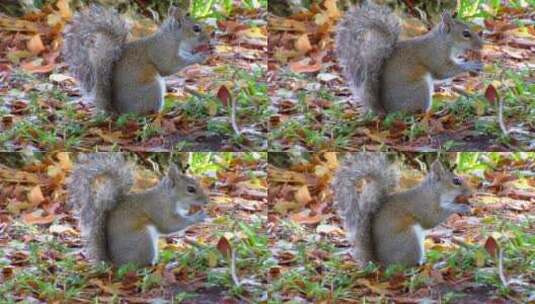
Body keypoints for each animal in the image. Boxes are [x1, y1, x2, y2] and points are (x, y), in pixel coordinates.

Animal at [62, 3, 211, 115]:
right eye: (196, 28)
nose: (209, 39)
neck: (173, 38)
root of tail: (119, 111)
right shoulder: (162, 52)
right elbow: (169, 67)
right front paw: (199, 57)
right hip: (152, 89)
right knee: (149, 112)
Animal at [67, 154, 209, 266]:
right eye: (190, 189)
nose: (207, 201)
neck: (169, 196)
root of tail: (114, 263)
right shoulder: (159, 208)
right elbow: (169, 225)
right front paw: (198, 216)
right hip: (143, 239)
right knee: (142, 265)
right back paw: (167, 264)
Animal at [336, 153, 474, 268]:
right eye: (456, 181)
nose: (471, 193)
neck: (434, 192)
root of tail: (380, 263)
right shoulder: (423, 205)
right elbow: (432, 218)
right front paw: (461, 207)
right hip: (409, 240)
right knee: (409, 266)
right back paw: (434, 264)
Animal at [338, 1, 484, 115]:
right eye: (466, 34)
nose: (482, 45)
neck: (443, 42)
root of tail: (388, 111)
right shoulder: (435, 55)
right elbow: (443, 71)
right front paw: (470, 65)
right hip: (420, 90)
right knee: (420, 112)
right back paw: (439, 110)